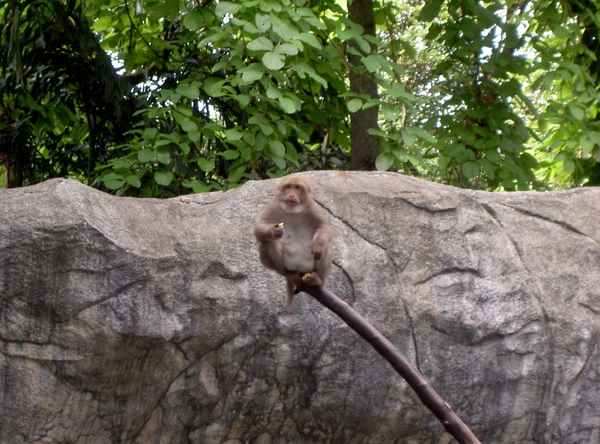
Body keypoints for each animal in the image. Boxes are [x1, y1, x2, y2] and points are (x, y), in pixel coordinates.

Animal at [252, 175, 332, 314]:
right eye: (289, 187)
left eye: (297, 187)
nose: (291, 195)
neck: (293, 211)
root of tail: (298, 269)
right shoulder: (274, 205)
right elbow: (260, 227)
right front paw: (273, 231)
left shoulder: (312, 207)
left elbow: (324, 228)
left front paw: (318, 245)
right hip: (287, 262)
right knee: (267, 242)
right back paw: (287, 273)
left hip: (309, 266)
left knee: (325, 248)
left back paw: (318, 279)